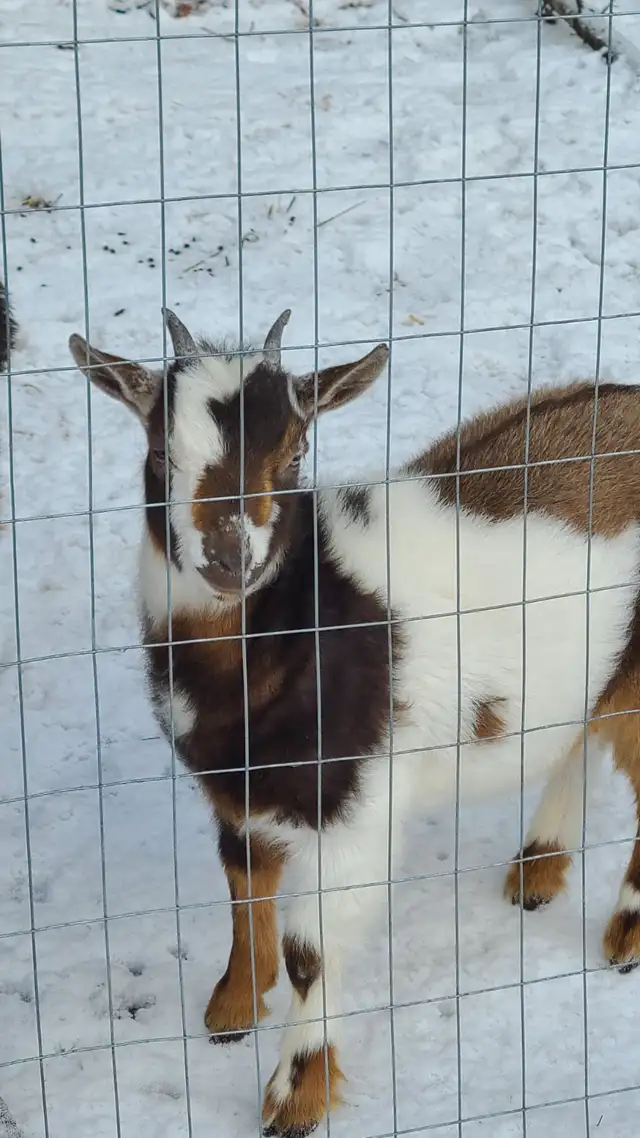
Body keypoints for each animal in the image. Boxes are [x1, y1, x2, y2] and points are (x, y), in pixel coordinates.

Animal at [70, 309, 640, 1137]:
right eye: (157, 452)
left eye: (294, 452)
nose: (227, 560)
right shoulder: (242, 795)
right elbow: (243, 890)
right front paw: (231, 1008)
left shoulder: (356, 811)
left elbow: (311, 950)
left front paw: (295, 1098)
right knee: (579, 733)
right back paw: (537, 870)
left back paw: (624, 935)